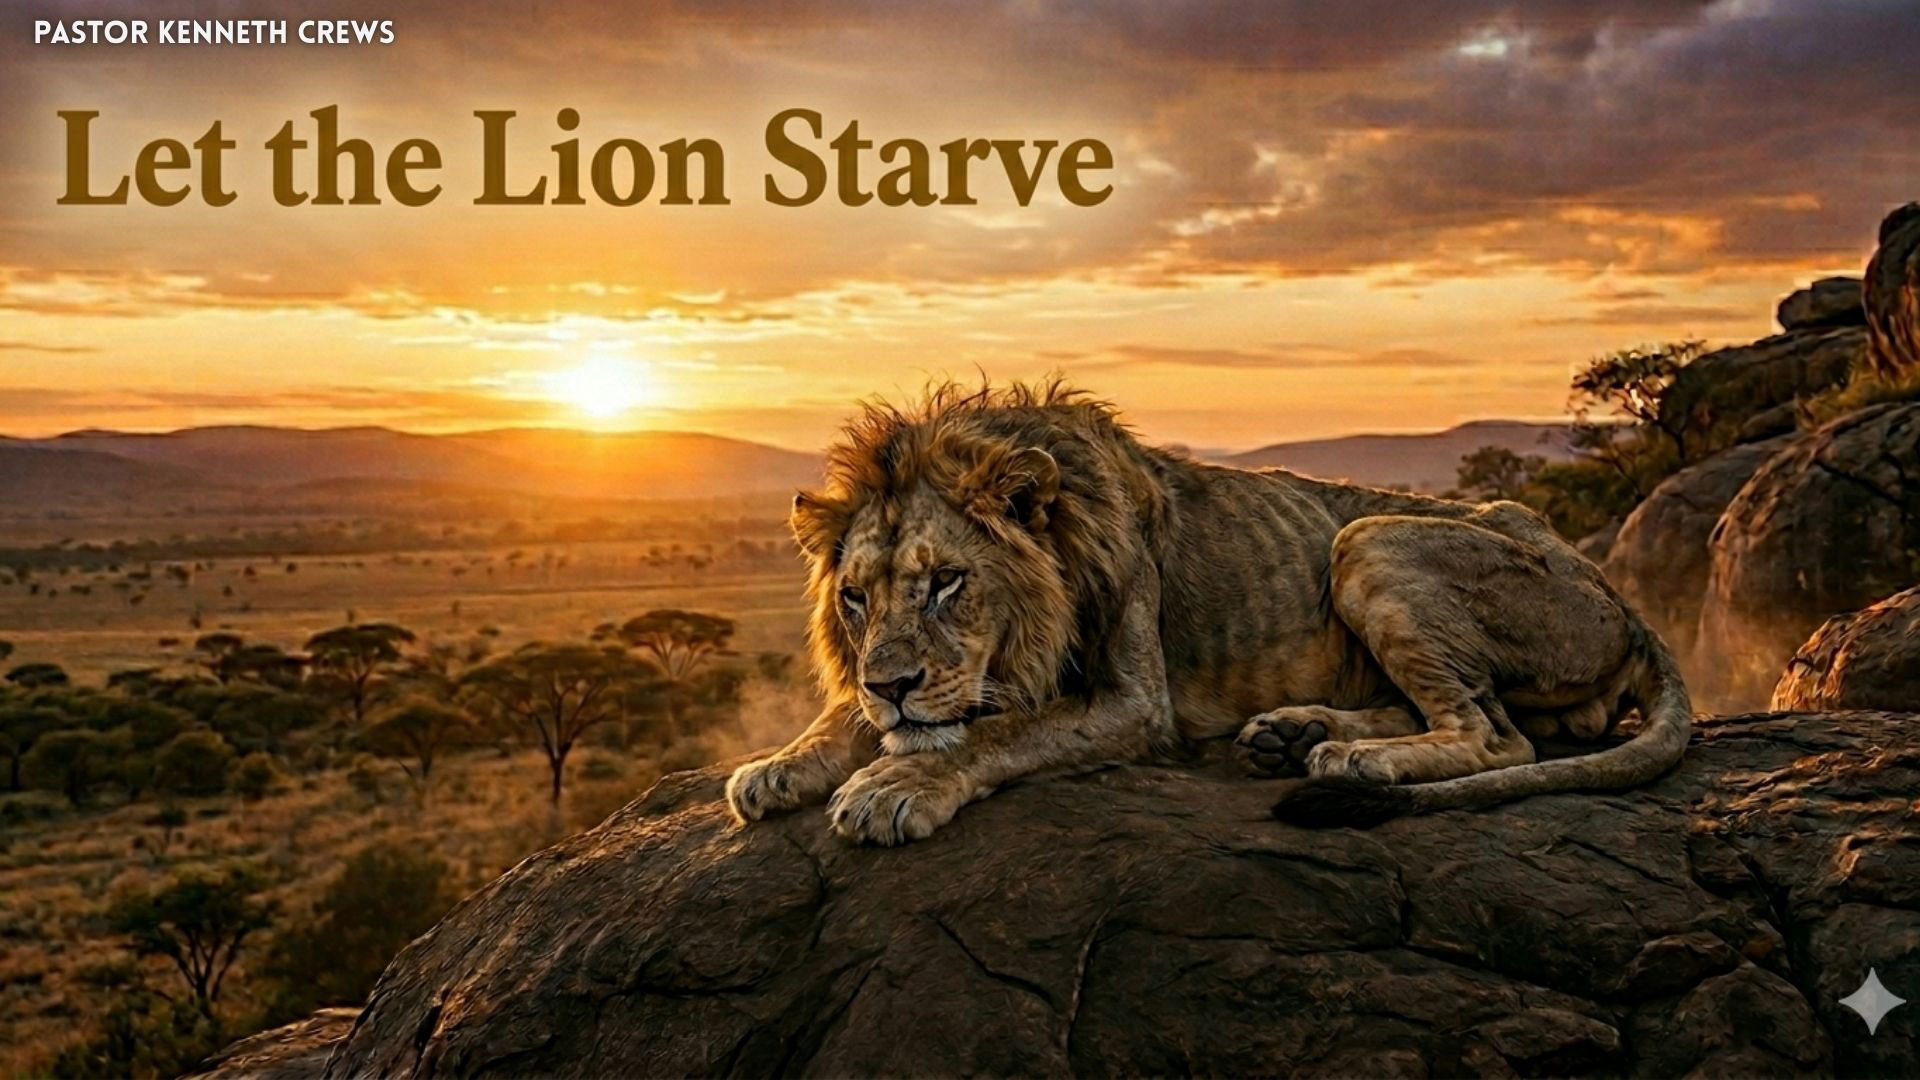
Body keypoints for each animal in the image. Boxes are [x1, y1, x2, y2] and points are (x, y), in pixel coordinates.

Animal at [725, 382, 1691, 845]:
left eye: (947, 582)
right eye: (855, 597)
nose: (891, 685)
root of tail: (1621, 599)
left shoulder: (1134, 704)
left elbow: (993, 732)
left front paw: (893, 785)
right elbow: (853, 720)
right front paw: (777, 764)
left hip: (1370, 537)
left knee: (1499, 737)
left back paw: (1349, 759)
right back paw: (1293, 735)